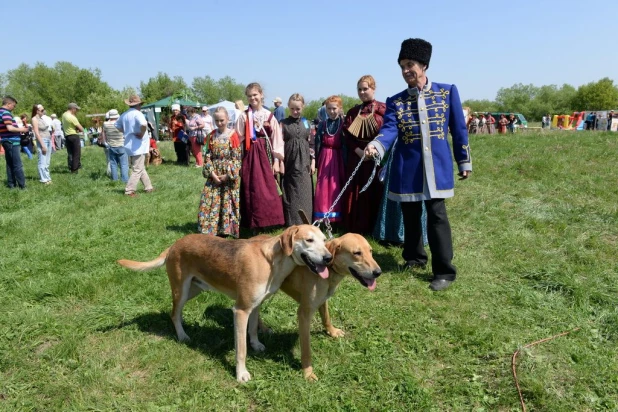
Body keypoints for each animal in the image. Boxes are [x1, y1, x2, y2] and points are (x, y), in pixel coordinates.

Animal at [117, 225, 330, 384]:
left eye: (324, 240)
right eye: (309, 240)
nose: (328, 258)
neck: (272, 261)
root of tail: (174, 245)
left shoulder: (255, 306)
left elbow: (253, 329)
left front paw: (256, 344)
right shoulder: (241, 310)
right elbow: (241, 350)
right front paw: (241, 374)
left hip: (194, 290)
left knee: (175, 312)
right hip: (181, 290)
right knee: (174, 314)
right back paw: (182, 335)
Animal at [251, 233, 378, 382]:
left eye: (370, 251)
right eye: (357, 253)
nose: (378, 272)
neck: (328, 270)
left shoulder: (323, 299)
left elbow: (326, 318)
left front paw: (332, 331)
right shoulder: (304, 313)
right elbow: (306, 350)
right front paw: (307, 372)